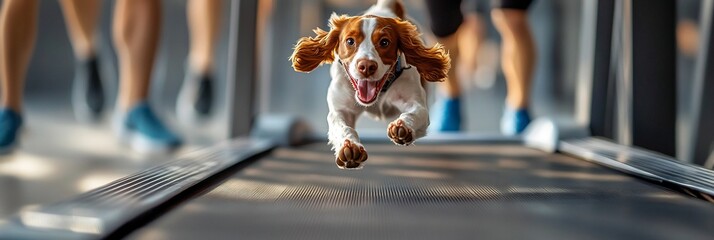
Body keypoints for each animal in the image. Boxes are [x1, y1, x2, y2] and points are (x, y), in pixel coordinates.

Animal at [288, 0, 444, 169]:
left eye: (384, 42)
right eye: (350, 41)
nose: (367, 66)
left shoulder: (416, 103)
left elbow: (415, 113)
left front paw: (402, 127)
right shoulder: (341, 110)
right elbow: (343, 127)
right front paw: (349, 148)